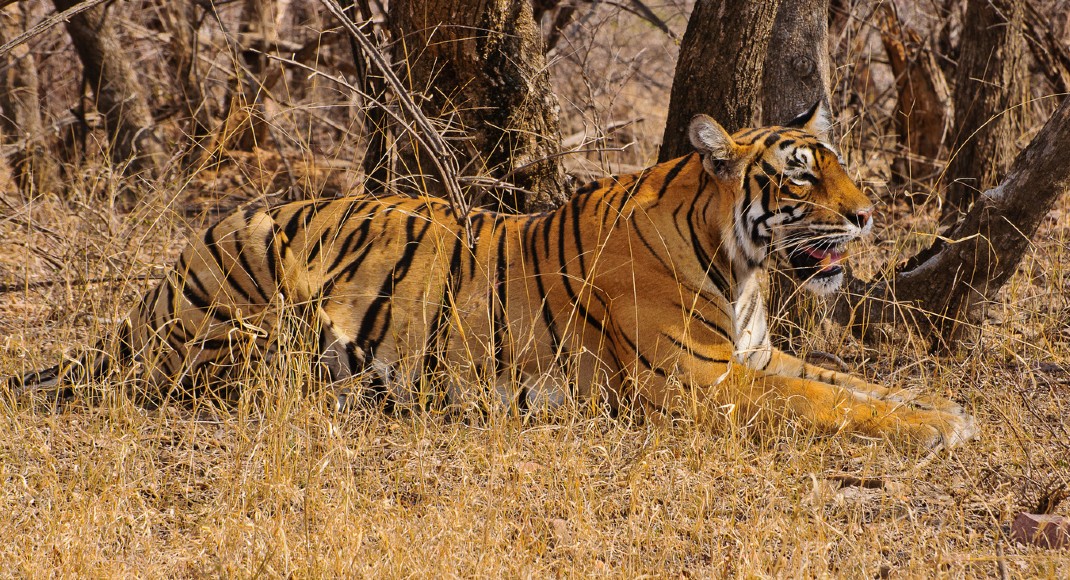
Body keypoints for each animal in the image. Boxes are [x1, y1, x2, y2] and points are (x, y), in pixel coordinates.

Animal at [10, 102, 976, 449]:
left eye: (839, 166)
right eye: (803, 175)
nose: (869, 215)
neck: (739, 266)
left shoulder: (755, 356)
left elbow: (850, 383)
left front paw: (940, 410)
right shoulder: (700, 383)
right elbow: (830, 403)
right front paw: (940, 430)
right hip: (247, 278)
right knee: (221, 382)